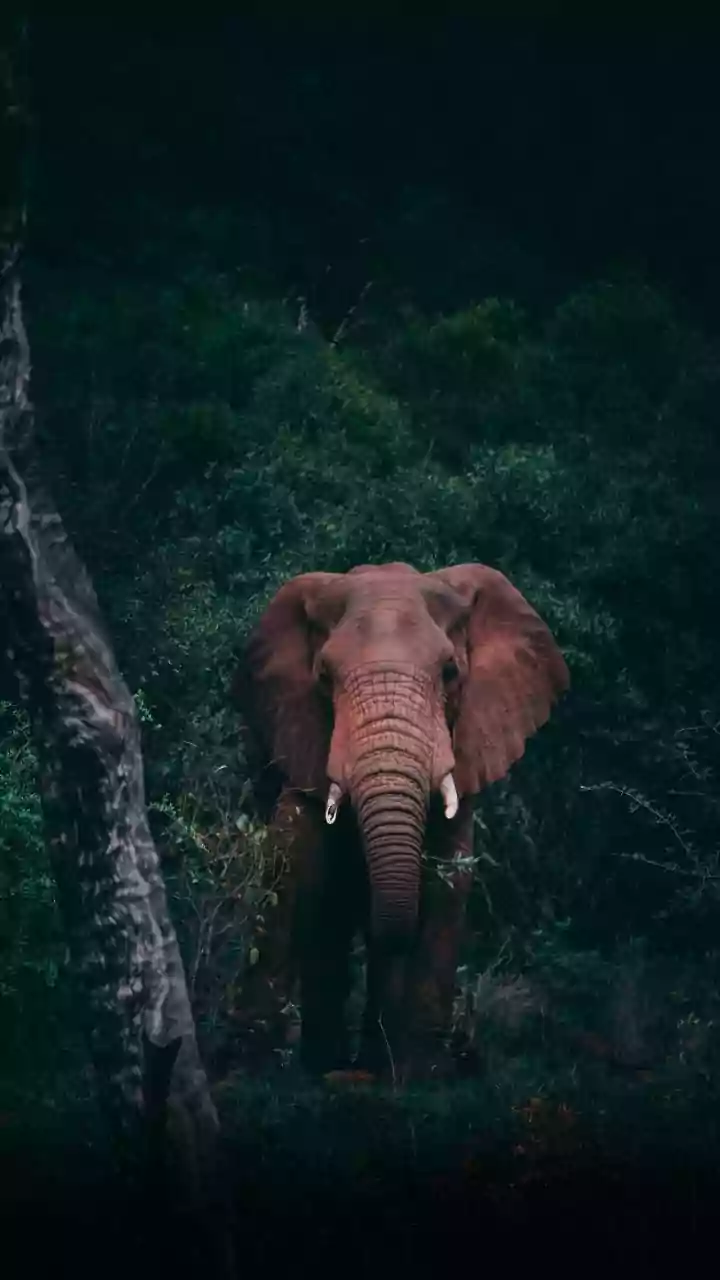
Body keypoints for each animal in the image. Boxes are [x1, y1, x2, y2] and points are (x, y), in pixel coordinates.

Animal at [230, 561, 569, 1083]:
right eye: (323, 676)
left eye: (450, 672)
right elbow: (290, 867)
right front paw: (249, 1073)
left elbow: (447, 883)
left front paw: (422, 1078)